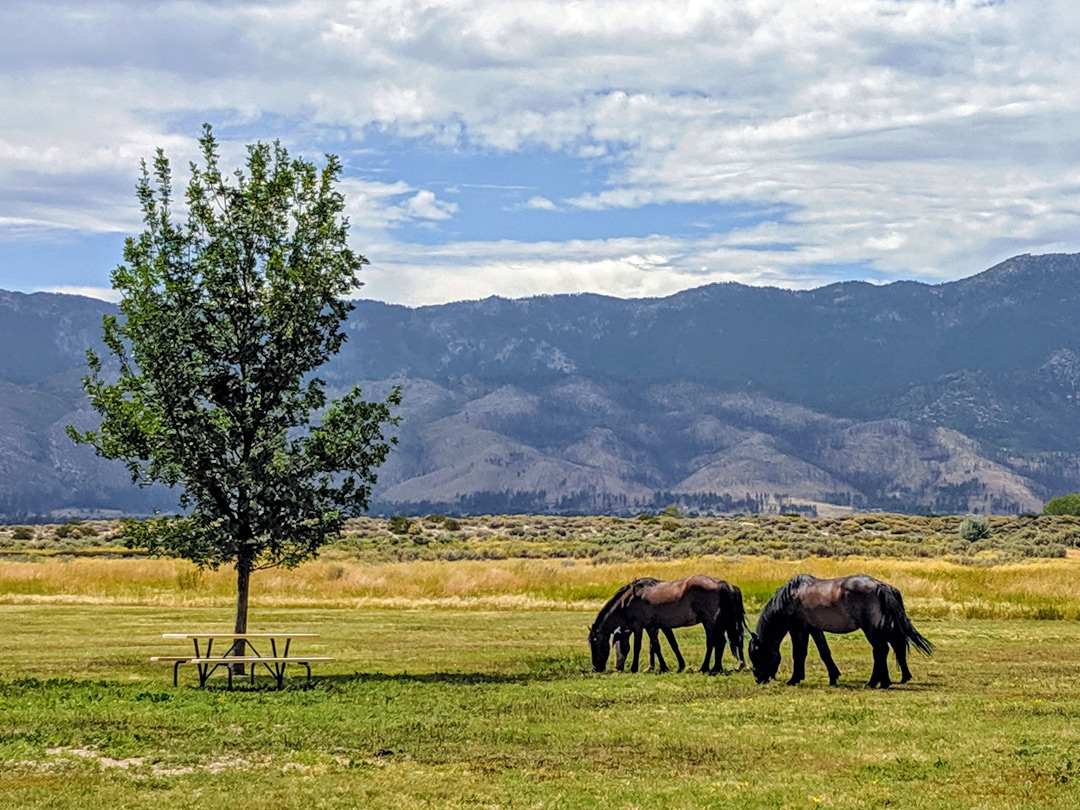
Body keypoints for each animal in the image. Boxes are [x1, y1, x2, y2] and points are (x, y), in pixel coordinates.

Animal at [591, 578, 743, 678]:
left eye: (596, 644)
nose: (596, 668)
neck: (629, 600)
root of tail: (721, 583)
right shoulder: (652, 627)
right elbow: (658, 646)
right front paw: (665, 667)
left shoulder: (639, 627)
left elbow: (638, 647)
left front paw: (634, 668)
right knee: (720, 643)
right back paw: (717, 668)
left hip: (710, 623)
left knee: (713, 643)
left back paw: (706, 668)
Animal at [747, 570, 933, 691]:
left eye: (757, 654)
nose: (758, 678)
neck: (791, 596)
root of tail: (881, 587)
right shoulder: (814, 629)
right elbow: (824, 652)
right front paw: (833, 677)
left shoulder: (797, 630)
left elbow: (798, 654)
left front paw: (794, 679)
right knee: (889, 649)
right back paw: (883, 681)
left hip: (872, 630)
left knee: (881, 650)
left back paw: (877, 682)